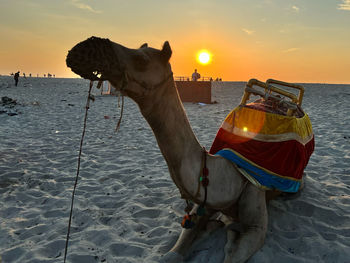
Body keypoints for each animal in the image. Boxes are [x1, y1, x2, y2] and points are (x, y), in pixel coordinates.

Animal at [65, 37, 284, 263]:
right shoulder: (202, 204)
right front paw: (213, 227)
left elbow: (234, 253)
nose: (84, 49)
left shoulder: (255, 212)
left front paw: (227, 233)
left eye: (142, 60)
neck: (230, 173)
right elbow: (174, 251)